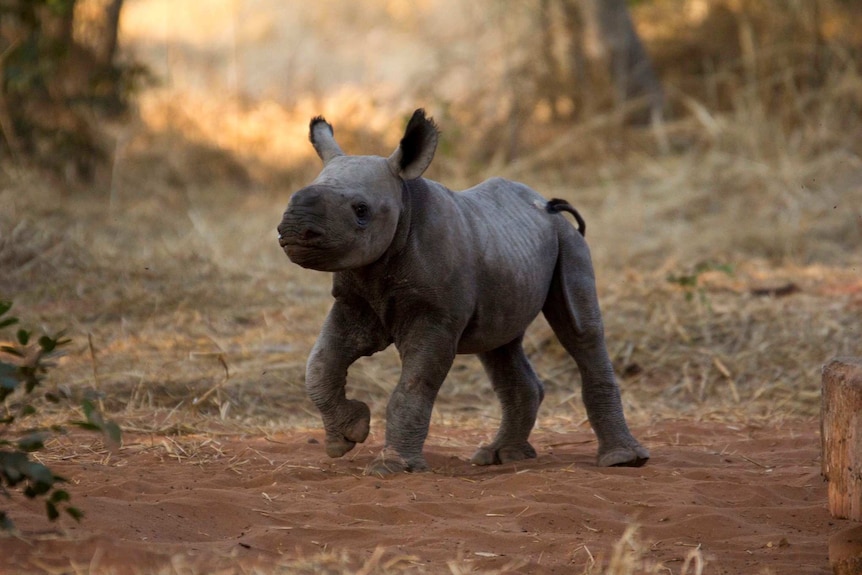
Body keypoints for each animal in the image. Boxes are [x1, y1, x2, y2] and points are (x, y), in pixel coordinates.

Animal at [276, 110, 648, 474]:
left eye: (360, 210)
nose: (292, 228)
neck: (404, 203)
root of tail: (544, 202)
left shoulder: (436, 315)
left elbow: (413, 385)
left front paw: (392, 467)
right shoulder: (354, 299)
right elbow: (319, 365)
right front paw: (347, 437)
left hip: (568, 241)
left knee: (580, 331)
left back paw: (622, 460)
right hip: (509, 249)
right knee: (499, 343)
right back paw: (500, 456)